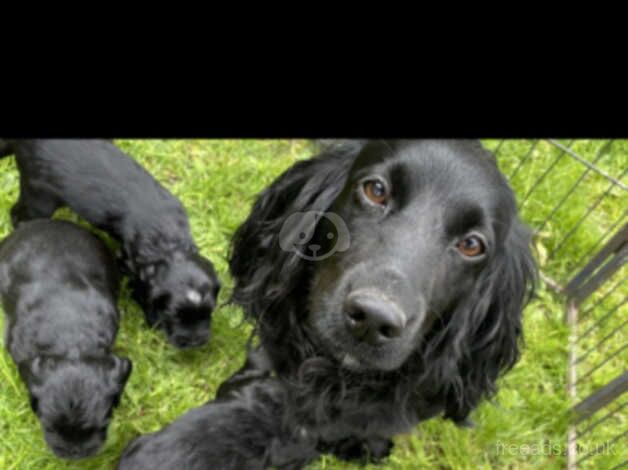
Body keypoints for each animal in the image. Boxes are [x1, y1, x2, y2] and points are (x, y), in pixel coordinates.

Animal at [0, 140, 221, 348]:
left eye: (208, 312)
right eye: (174, 314)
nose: (195, 342)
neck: (170, 241)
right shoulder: (131, 259)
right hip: (39, 195)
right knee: (19, 214)